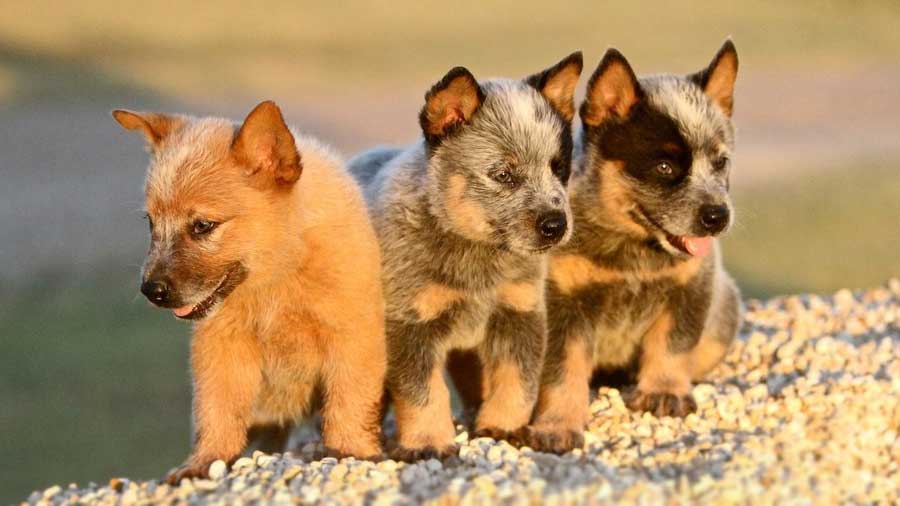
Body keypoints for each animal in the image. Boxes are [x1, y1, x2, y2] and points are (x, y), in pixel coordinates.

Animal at [110, 100, 384, 482]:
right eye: (151, 222)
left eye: (203, 226)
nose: (151, 290)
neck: (277, 280)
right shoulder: (220, 345)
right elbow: (216, 409)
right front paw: (204, 461)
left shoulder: (352, 337)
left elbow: (350, 399)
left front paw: (351, 451)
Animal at [348, 54, 580, 458]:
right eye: (503, 174)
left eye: (559, 167)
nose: (556, 224)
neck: (479, 257)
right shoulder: (410, 324)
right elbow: (423, 392)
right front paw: (428, 442)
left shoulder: (519, 312)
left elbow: (517, 380)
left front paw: (502, 427)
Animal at [528, 39, 744, 450]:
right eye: (664, 167)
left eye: (721, 162)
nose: (718, 216)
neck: (632, 251)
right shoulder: (563, 304)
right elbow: (562, 370)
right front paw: (558, 425)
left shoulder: (689, 289)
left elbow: (673, 345)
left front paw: (665, 392)